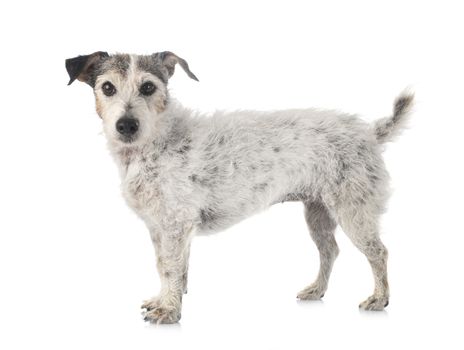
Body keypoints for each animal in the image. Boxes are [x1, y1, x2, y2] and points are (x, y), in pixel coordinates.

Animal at [65, 50, 414, 324]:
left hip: (354, 212)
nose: (126, 125)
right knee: (330, 251)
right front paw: (164, 300)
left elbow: (170, 268)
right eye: (107, 87)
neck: (156, 142)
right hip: (318, 214)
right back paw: (317, 289)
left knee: (378, 252)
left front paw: (169, 310)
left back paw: (379, 298)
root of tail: (370, 133)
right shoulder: (161, 228)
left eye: (148, 87)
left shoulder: (176, 225)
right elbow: (168, 268)